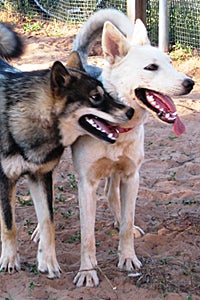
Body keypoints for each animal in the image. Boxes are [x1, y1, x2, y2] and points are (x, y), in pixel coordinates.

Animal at [0, 24, 134, 278]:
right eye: (96, 97)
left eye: (107, 93)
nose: (130, 111)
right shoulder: (5, 180)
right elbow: (9, 225)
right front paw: (10, 259)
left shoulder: (41, 176)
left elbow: (48, 222)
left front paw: (48, 262)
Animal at [71, 8, 195, 288]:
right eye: (151, 67)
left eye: (170, 63)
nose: (190, 83)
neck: (116, 128)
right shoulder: (86, 183)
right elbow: (86, 234)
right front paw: (87, 271)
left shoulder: (131, 176)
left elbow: (127, 224)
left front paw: (127, 257)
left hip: (118, 174)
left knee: (111, 195)